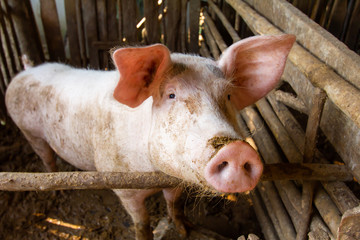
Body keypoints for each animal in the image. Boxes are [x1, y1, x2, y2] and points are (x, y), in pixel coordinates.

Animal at [5, 34, 296, 239]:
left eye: (227, 95)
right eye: (171, 95)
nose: (236, 149)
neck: (155, 174)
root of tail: (26, 70)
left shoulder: (175, 180)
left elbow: (174, 206)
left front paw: (184, 231)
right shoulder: (122, 186)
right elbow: (141, 223)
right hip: (28, 131)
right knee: (46, 158)